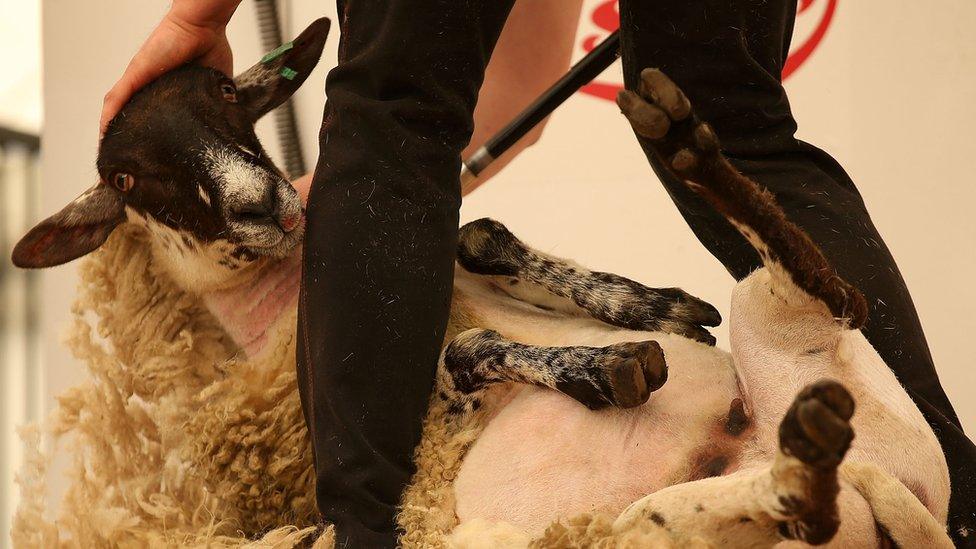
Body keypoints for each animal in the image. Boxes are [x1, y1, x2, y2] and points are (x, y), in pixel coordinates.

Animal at [11, 18, 948, 548]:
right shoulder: (425, 425)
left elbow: (483, 235)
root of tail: (887, 490)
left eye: (225, 93)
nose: (263, 203)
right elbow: (466, 345)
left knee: (831, 289)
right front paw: (607, 365)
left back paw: (687, 145)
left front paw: (654, 307)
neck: (280, 308)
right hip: (609, 527)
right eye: (127, 179)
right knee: (826, 326)